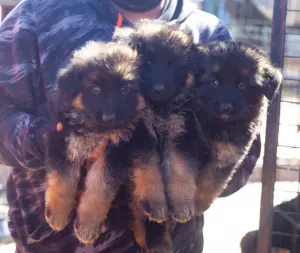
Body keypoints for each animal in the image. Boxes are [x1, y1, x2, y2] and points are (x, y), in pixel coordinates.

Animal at [43, 40, 149, 244]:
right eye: (95, 89)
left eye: (124, 89)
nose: (109, 117)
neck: (96, 129)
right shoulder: (63, 139)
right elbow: (63, 179)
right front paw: (58, 214)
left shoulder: (116, 153)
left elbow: (99, 188)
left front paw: (87, 225)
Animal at [113, 19, 196, 251]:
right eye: (148, 62)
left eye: (173, 65)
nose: (158, 88)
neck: (159, 109)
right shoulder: (141, 136)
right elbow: (149, 173)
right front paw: (157, 204)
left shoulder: (179, 132)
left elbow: (180, 168)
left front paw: (182, 204)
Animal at [191, 41, 282, 213]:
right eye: (214, 82)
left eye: (242, 85)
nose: (226, 107)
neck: (220, 126)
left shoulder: (227, 158)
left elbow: (209, 184)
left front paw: (198, 205)